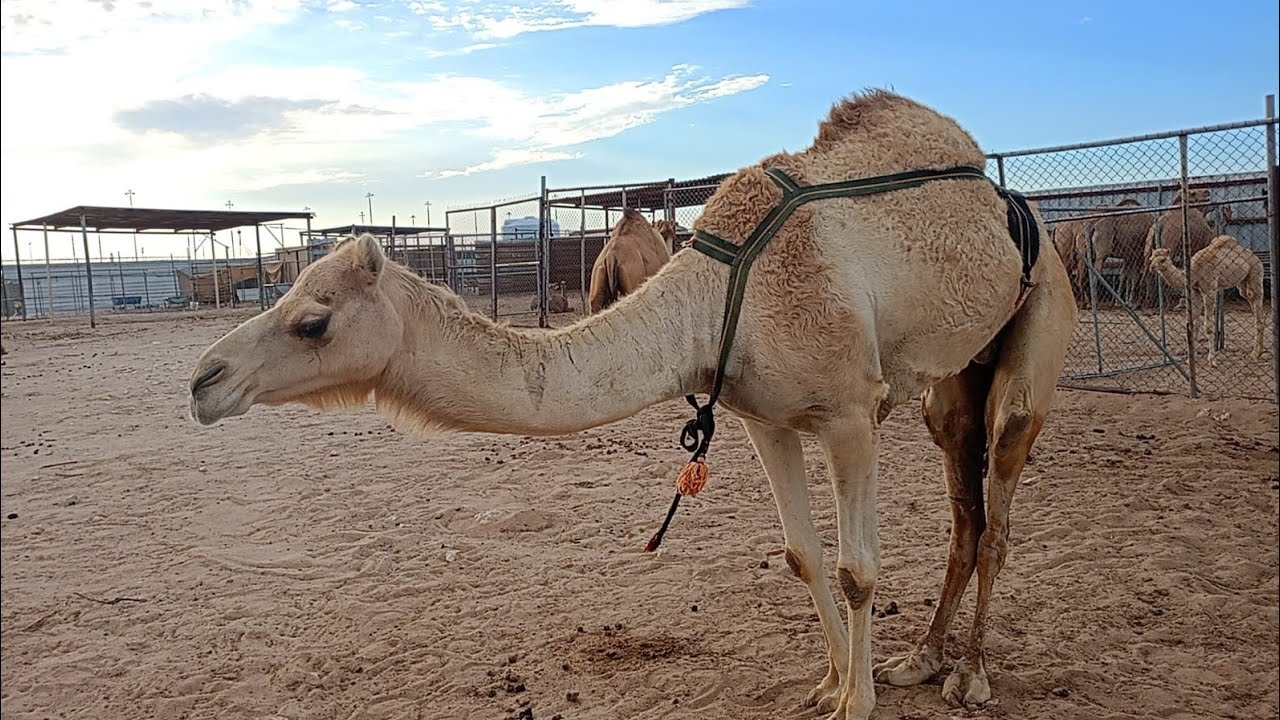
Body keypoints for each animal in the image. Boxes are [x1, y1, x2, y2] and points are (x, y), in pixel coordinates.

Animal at [188, 91, 1077, 720]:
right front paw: (830, 684)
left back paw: (969, 677)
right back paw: (921, 659)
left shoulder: (849, 412)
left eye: (312, 320)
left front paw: (854, 703)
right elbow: (801, 554)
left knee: (1000, 498)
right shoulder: (762, 416)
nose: (204, 380)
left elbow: (857, 568)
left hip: (1039, 321)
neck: (719, 294)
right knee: (964, 506)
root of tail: (1011, 201)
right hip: (955, 375)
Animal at [1148, 235, 1266, 364]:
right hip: (1242, 282)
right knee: (1251, 300)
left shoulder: (1209, 290)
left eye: (1163, 260)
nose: (1151, 267)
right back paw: (1258, 351)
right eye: (1151, 258)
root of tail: (1254, 256)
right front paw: (1190, 360)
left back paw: (1255, 354)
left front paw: (1212, 360)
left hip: (1255, 272)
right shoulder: (1195, 291)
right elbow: (1194, 324)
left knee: (1257, 297)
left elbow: (1208, 327)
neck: (1194, 271)